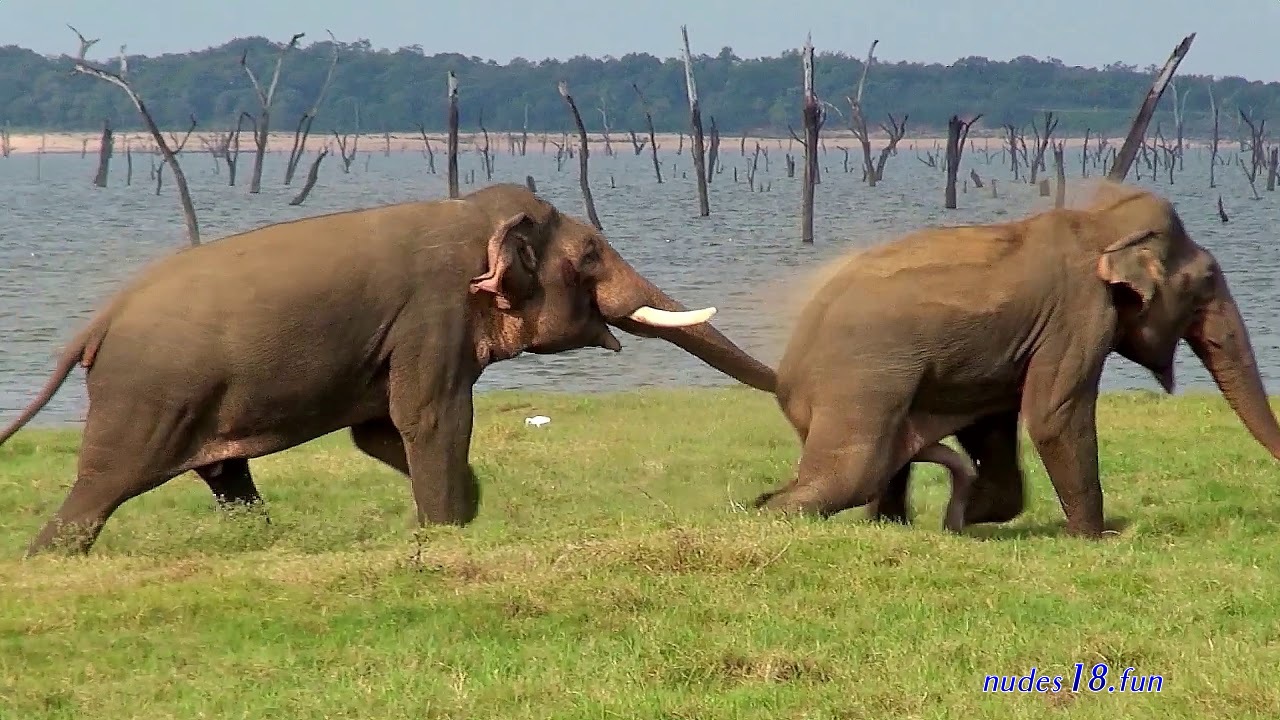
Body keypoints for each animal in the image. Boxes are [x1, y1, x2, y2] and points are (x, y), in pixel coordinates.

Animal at [0, 183, 777, 557]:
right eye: (589, 255)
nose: (761, 498)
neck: (472, 213)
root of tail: (96, 323)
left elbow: (378, 431)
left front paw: (465, 507)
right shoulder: (433, 314)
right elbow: (430, 416)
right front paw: (446, 529)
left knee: (225, 475)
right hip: (148, 398)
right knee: (98, 493)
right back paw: (48, 558)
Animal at [753, 181, 1280, 537]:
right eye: (1206, 281)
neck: (1097, 222)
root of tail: (788, 375)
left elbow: (993, 420)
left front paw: (969, 516)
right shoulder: (1078, 315)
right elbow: (1053, 415)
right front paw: (1095, 537)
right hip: (859, 385)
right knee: (851, 475)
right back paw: (765, 506)